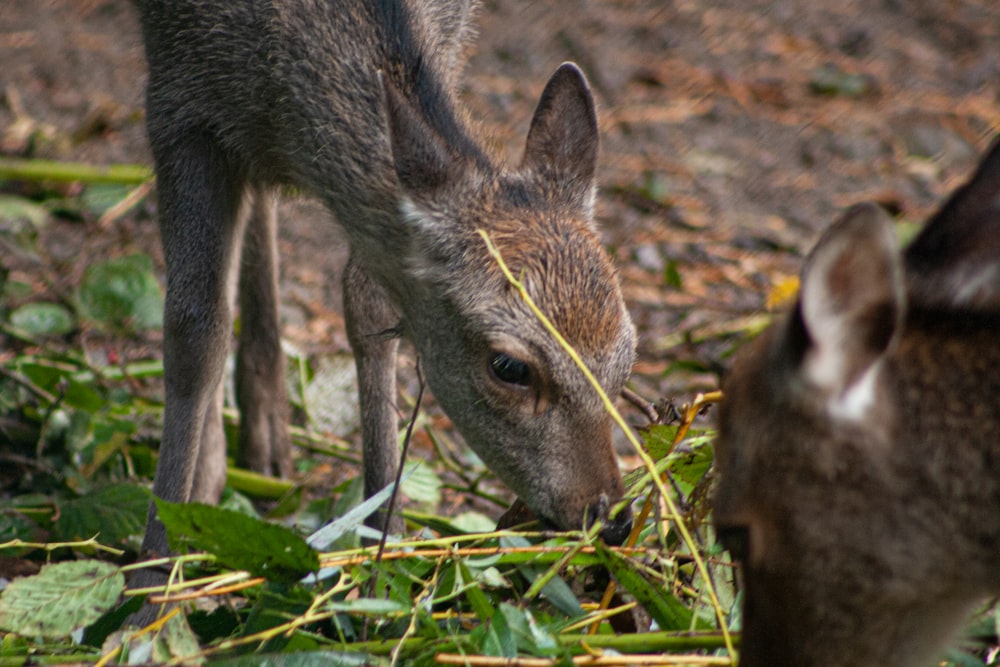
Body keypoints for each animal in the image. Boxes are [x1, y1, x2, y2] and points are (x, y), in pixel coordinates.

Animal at [135, 0, 632, 580]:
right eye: (509, 367)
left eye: (628, 356)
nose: (611, 516)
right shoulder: (176, 99)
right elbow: (194, 333)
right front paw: (149, 578)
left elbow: (368, 307)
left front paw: (385, 538)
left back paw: (264, 441)